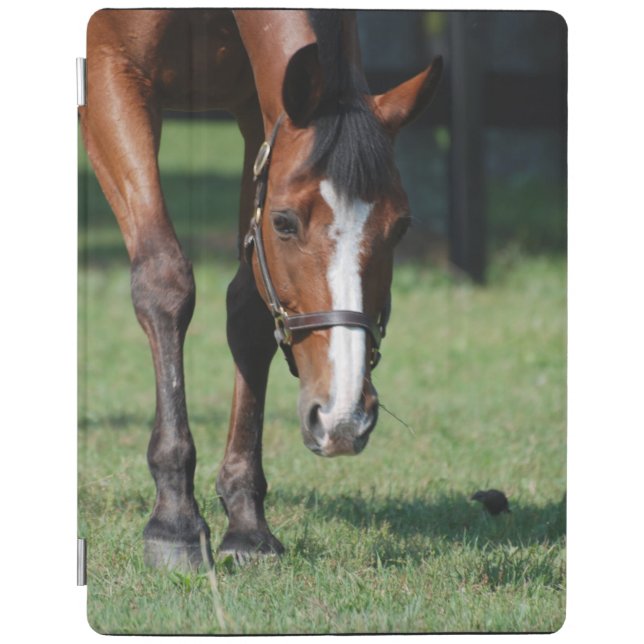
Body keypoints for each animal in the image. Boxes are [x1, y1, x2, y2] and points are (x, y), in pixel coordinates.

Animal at [79, 8, 442, 568]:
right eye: (284, 222)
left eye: (400, 227)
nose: (342, 417)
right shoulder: (110, 74)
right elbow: (164, 280)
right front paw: (175, 521)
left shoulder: (261, 111)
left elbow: (249, 306)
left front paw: (247, 523)